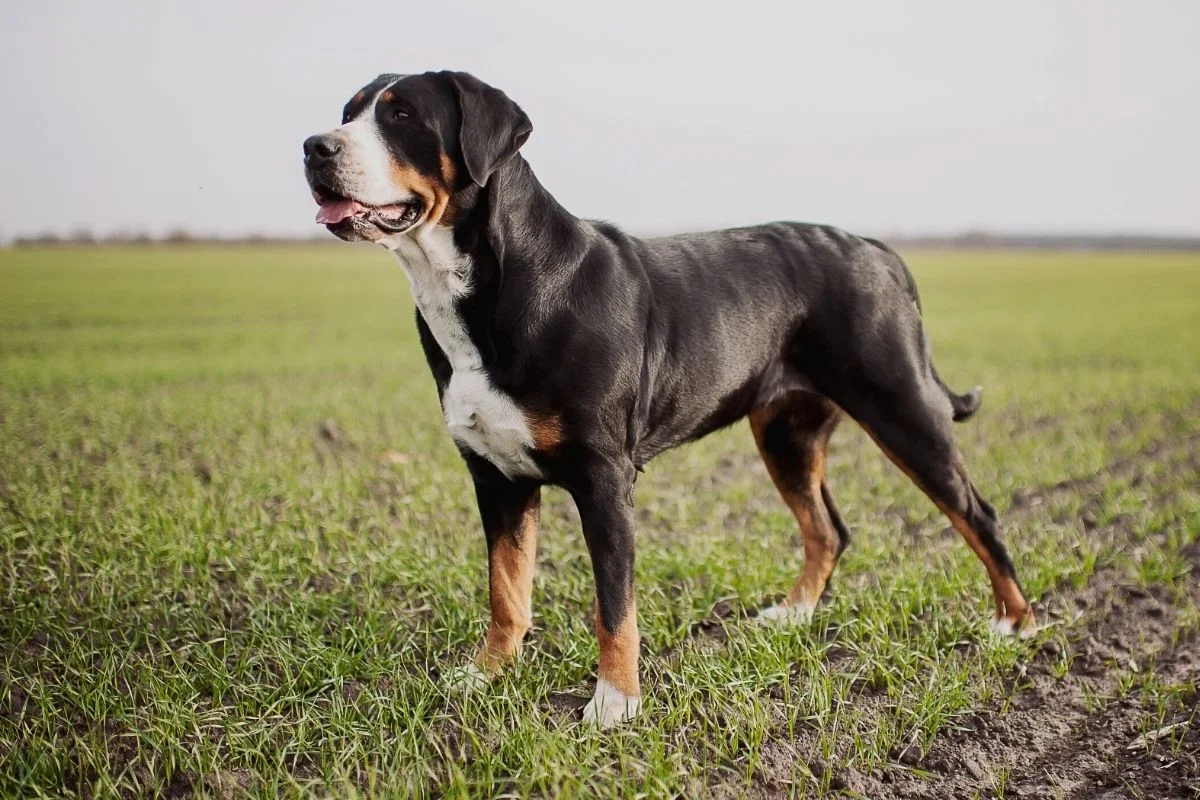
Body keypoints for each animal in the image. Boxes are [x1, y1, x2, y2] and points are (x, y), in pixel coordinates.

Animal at [302, 71, 1041, 729]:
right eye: (349, 111)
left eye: (402, 116)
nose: (314, 146)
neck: (479, 290)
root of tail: (876, 249)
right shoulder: (496, 477)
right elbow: (506, 590)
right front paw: (486, 675)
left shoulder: (604, 477)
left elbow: (614, 605)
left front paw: (614, 703)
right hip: (786, 434)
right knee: (828, 528)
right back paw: (793, 614)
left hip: (902, 408)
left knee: (977, 514)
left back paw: (1016, 624)